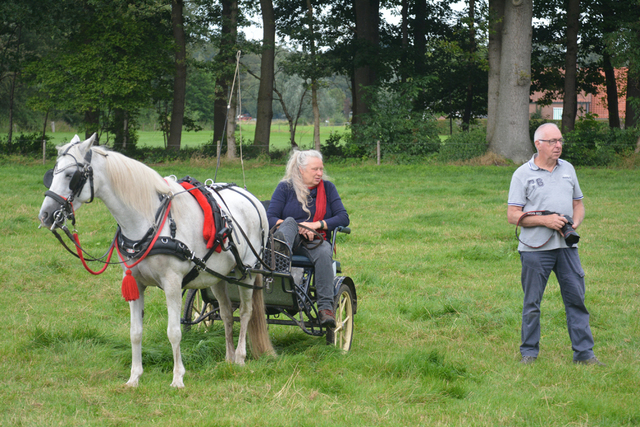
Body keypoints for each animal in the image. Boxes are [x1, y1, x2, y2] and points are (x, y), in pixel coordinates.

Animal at [38, 135, 276, 390]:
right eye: (53, 173)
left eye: (70, 175)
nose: (45, 215)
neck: (148, 221)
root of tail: (250, 197)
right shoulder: (134, 283)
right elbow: (135, 332)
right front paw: (134, 377)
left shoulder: (172, 283)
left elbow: (174, 332)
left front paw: (178, 377)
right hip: (218, 277)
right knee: (226, 313)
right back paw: (229, 357)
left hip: (247, 273)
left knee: (246, 312)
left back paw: (240, 357)